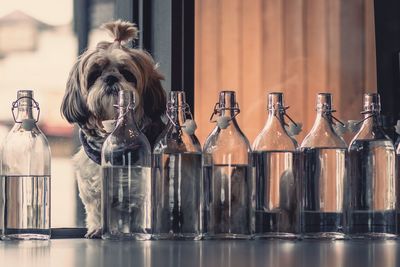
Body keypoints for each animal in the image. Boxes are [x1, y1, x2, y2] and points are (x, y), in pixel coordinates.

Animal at [60, 20, 166, 239]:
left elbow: (137, 209)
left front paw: (136, 230)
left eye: (127, 74)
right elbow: (97, 208)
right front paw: (98, 228)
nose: (110, 78)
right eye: (95, 74)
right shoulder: (93, 184)